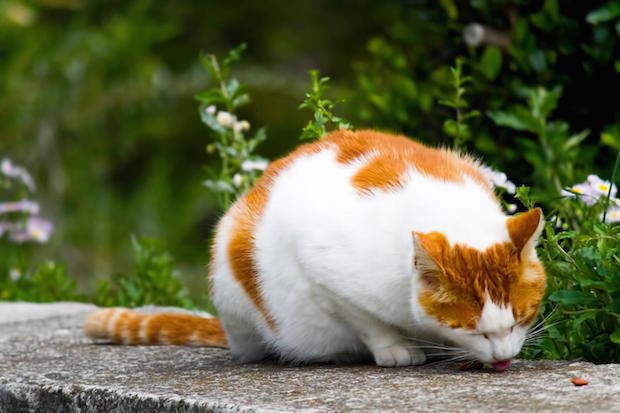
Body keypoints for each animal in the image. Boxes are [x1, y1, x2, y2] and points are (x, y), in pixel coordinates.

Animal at [85, 130, 544, 370]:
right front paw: (395, 348)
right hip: (232, 268)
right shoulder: (322, 273)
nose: (504, 358)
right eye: (474, 330)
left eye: (521, 318)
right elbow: (366, 321)